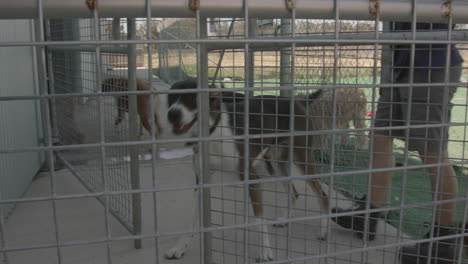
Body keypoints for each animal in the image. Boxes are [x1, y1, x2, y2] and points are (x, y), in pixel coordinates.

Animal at [165, 80, 330, 262]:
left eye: (193, 97)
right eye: (170, 98)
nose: (172, 114)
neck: (213, 133)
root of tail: (298, 101)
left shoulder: (251, 177)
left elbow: (259, 219)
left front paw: (265, 251)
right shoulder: (201, 182)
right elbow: (192, 220)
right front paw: (180, 247)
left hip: (302, 159)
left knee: (322, 195)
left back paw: (323, 231)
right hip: (276, 163)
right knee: (293, 192)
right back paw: (285, 219)